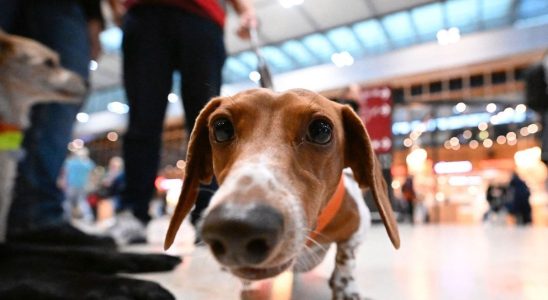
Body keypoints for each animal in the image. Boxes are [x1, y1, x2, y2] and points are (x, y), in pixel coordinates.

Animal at [165, 88, 400, 298]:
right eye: (221, 127)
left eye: (321, 130)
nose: (235, 228)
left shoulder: (358, 227)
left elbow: (346, 259)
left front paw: (346, 288)